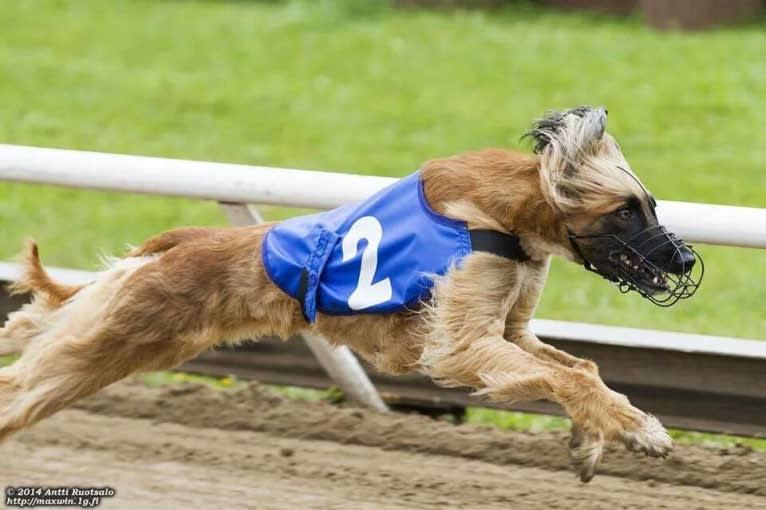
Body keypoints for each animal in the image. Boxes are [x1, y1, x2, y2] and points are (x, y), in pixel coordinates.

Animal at [0, 105, 704, 480]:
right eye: (628, 210)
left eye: (652, 204)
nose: (682, 261)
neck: (506, 213)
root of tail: (177, 243)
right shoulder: (460, 343)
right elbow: (564, 375)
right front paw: (643, 432)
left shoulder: (509, 329)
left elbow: (578, 367)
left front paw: (592, 442)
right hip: (111, 337)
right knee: (20, 381)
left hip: (121, 334)